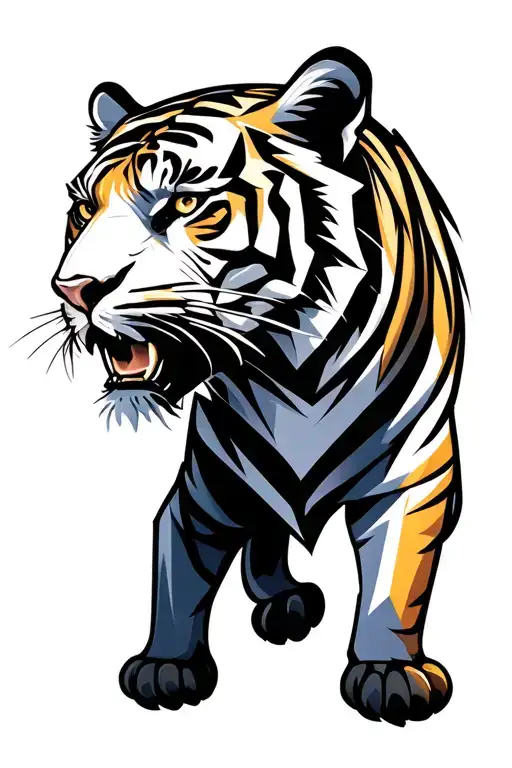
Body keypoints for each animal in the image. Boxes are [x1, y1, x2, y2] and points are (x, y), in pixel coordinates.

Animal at [51, 46, 465, 726]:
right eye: (85, 210)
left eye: (185, 206)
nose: (73, 289)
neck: (287, 372)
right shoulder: (206, 487)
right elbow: (179, 573)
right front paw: (166, 665)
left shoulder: (413, 473)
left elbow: (393, 581)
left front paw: (389, 673)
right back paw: (285, 599)